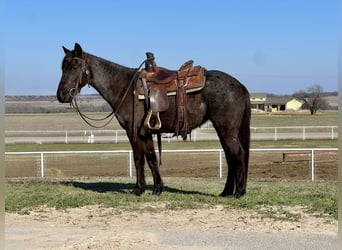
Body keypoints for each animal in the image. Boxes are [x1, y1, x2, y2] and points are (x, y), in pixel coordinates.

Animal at [56, 44, 251, 198]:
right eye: (63, 66)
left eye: (75, 66)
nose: (61, 95)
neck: (125, 88)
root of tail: (240, 86)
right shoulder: (146, 133)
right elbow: (151, 158)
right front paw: (157, 188)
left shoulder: (133, 132)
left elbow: (138, 159)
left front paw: (138, 189)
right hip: (223, 130)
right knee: (230, 157)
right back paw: (226, 192)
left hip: (226, 130)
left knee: (238, 154)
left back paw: (239, 192)